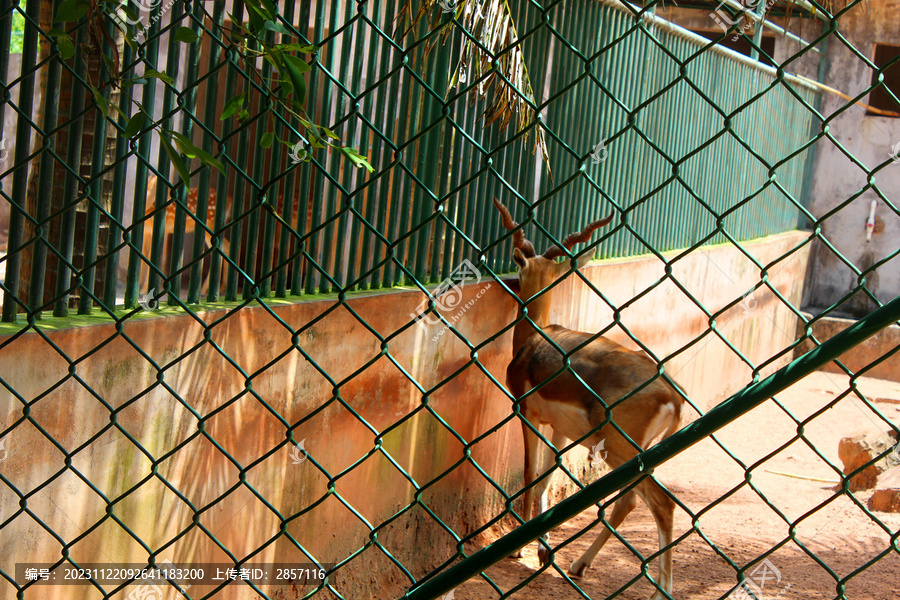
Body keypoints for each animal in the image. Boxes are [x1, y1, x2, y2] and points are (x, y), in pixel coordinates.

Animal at [496, 198, 680, 600]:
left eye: (519, 263)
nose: (510, 281)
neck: (534, 338)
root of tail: (671, 394)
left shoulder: (526, 413)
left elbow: (530, 473)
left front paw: (519, 546)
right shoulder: (560, 429)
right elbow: (547, 478)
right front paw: (542, 544)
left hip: (619, 449)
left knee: (658, 503)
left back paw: (658, 589)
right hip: (638, 453)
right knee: (630, 501)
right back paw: (580, 565)